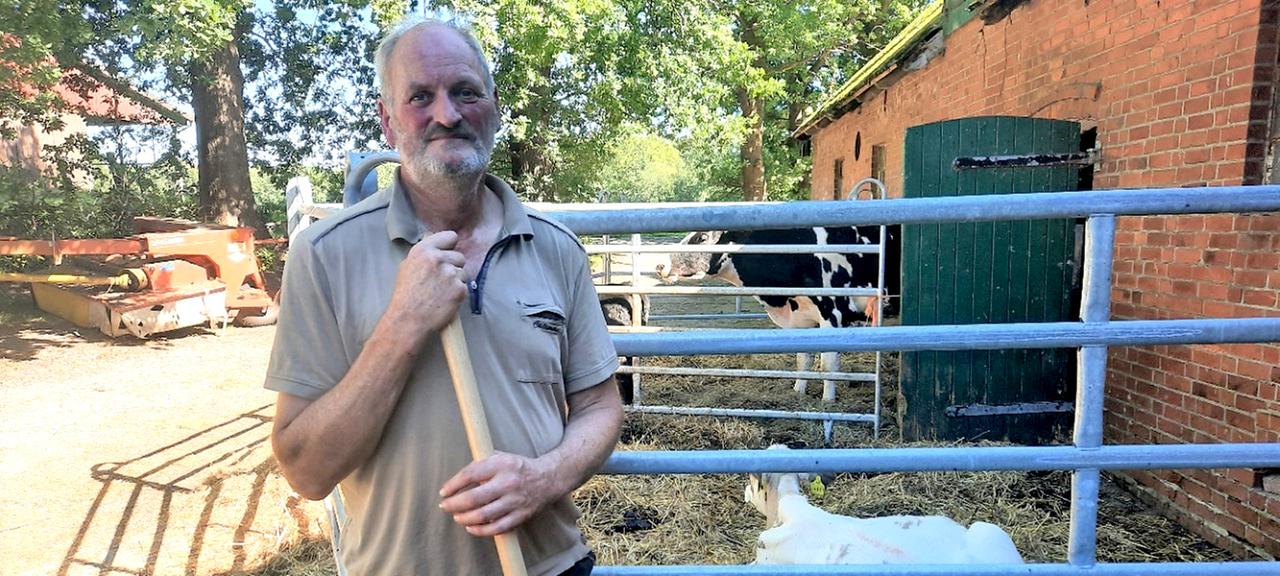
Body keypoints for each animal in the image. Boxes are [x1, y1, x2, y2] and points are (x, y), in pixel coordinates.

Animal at [650, 227, 901, 401]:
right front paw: (798, 392)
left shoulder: (833, 315)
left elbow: (828, 365)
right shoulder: (801, 320)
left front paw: (828, 402)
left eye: (701, 238)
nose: (660, 265)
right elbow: (803, 360)